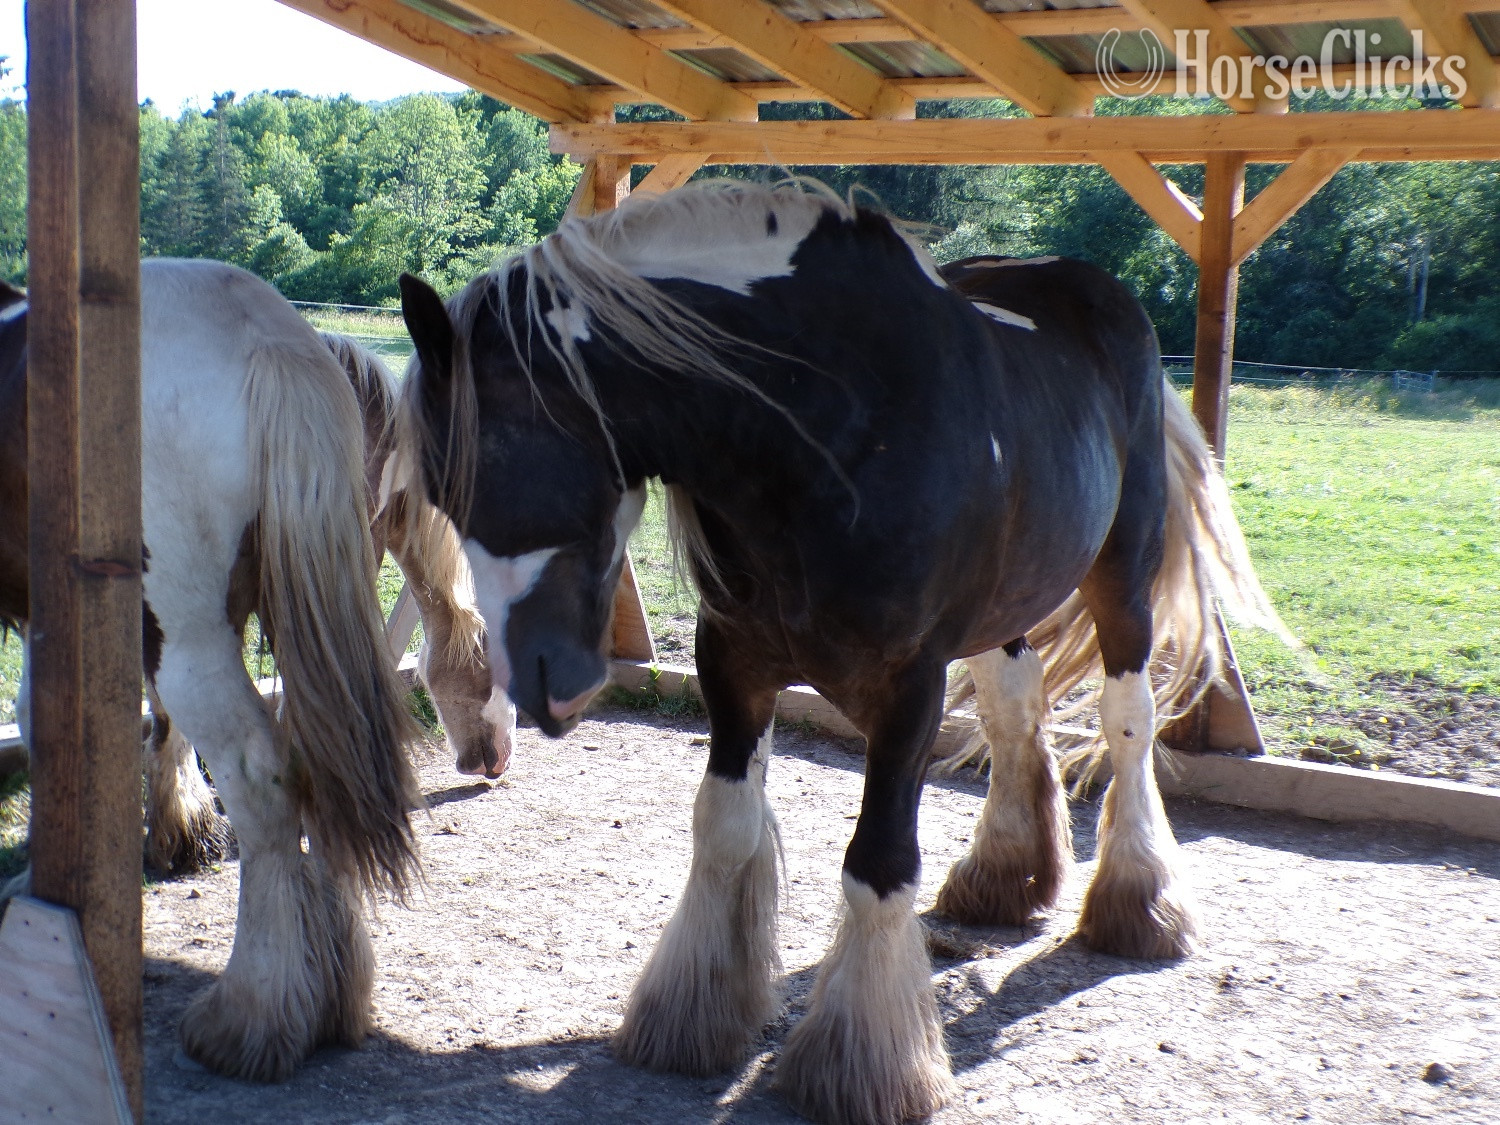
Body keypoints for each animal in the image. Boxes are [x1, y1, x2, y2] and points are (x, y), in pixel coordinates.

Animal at [1, 259, 423, 1081]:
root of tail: (262, 330)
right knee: (321, 761)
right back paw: (330, 991)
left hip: (186, 628)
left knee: (262, 778)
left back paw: (251, 1014)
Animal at [394, 181, 1286, 1125]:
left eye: (480, 466)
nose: (539, 686)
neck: (824, 426)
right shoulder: (734, 661)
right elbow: (725, 830)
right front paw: (693, 1013)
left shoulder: (909, 687)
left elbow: (878, 863)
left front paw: (867, 1063)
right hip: (1008, 600)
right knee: (1016, 708)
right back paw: (1007, 876)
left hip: (1123, 571)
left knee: (1127, 720)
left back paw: (1138, 901)